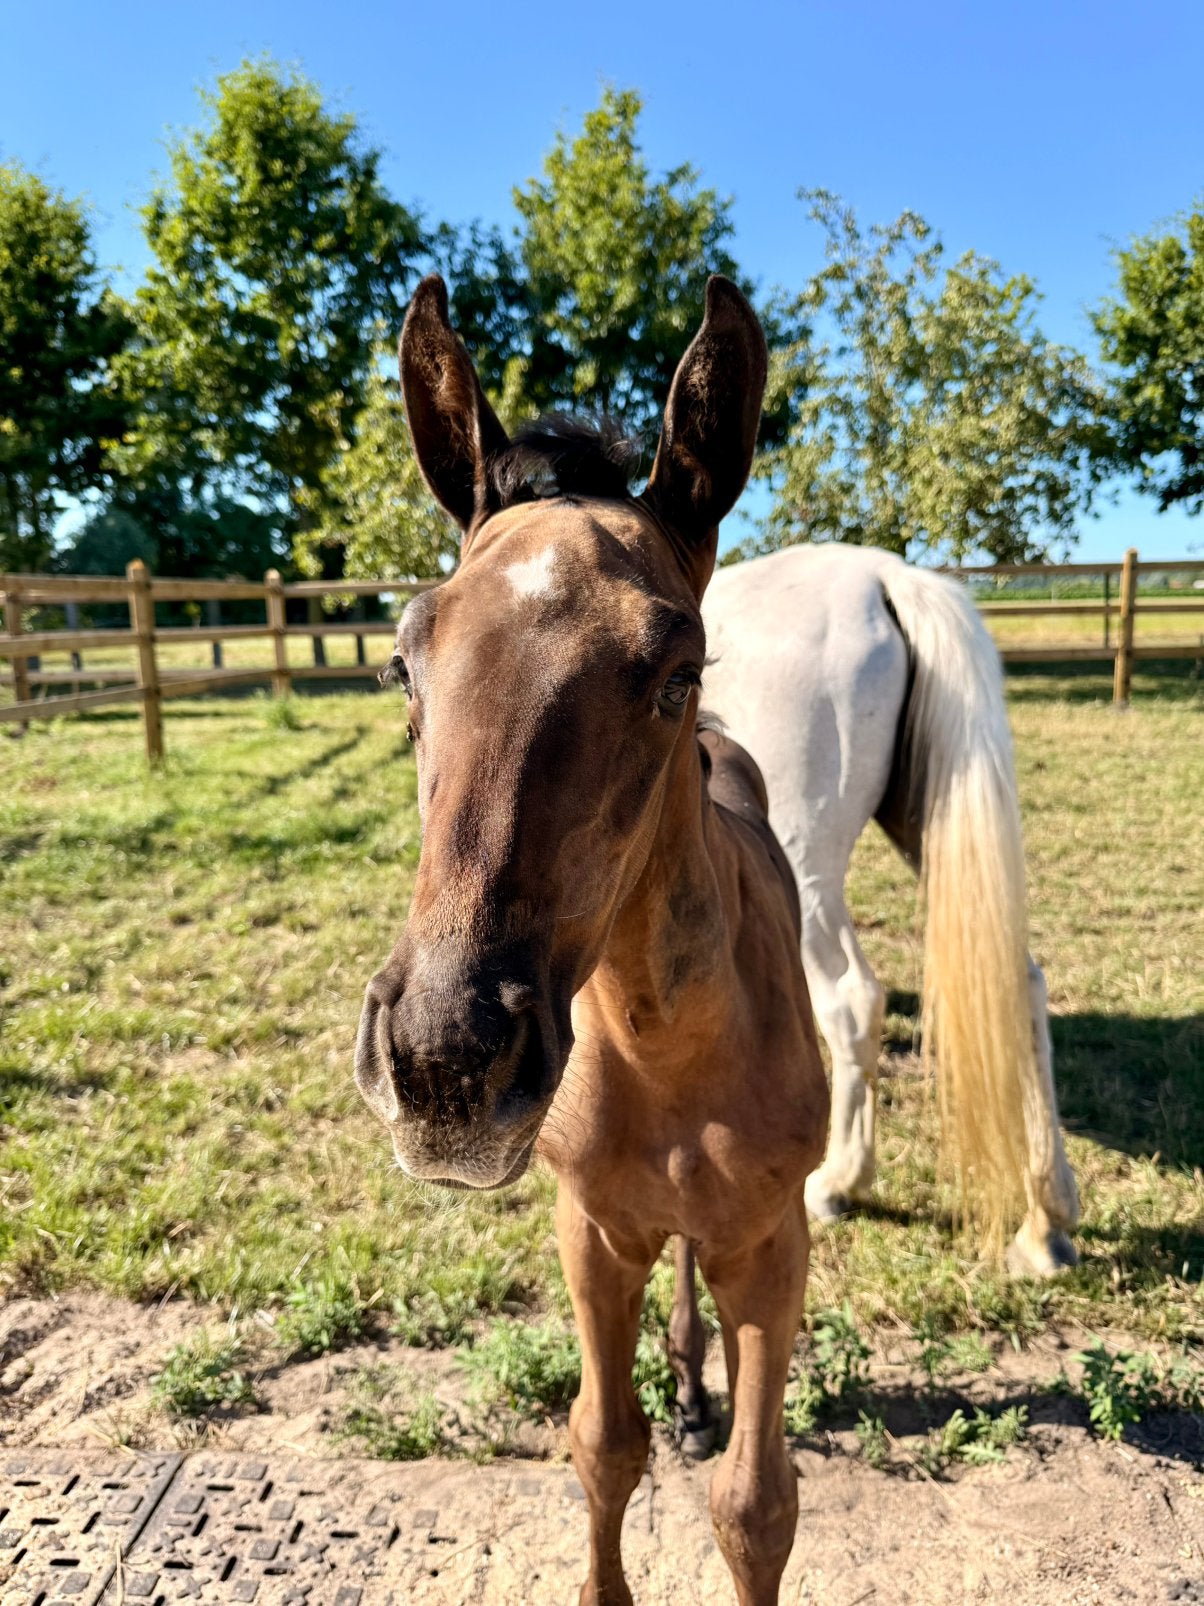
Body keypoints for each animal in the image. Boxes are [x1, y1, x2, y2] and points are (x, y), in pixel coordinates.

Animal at [354, 273, 829, 1605]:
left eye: (677, 666)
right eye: (403, 661)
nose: (444, 1060)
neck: (662, 1051)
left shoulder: (772, 1244)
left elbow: (755, 1507)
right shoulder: (589, 1232)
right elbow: (601, 1445)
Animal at [701, 543, 1080, 1276]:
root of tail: (883, 578)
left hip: (805, 866)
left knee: (851, 1001)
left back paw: (839, 1182)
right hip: (928, 827)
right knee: (1017, 985)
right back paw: (1045, 1221)